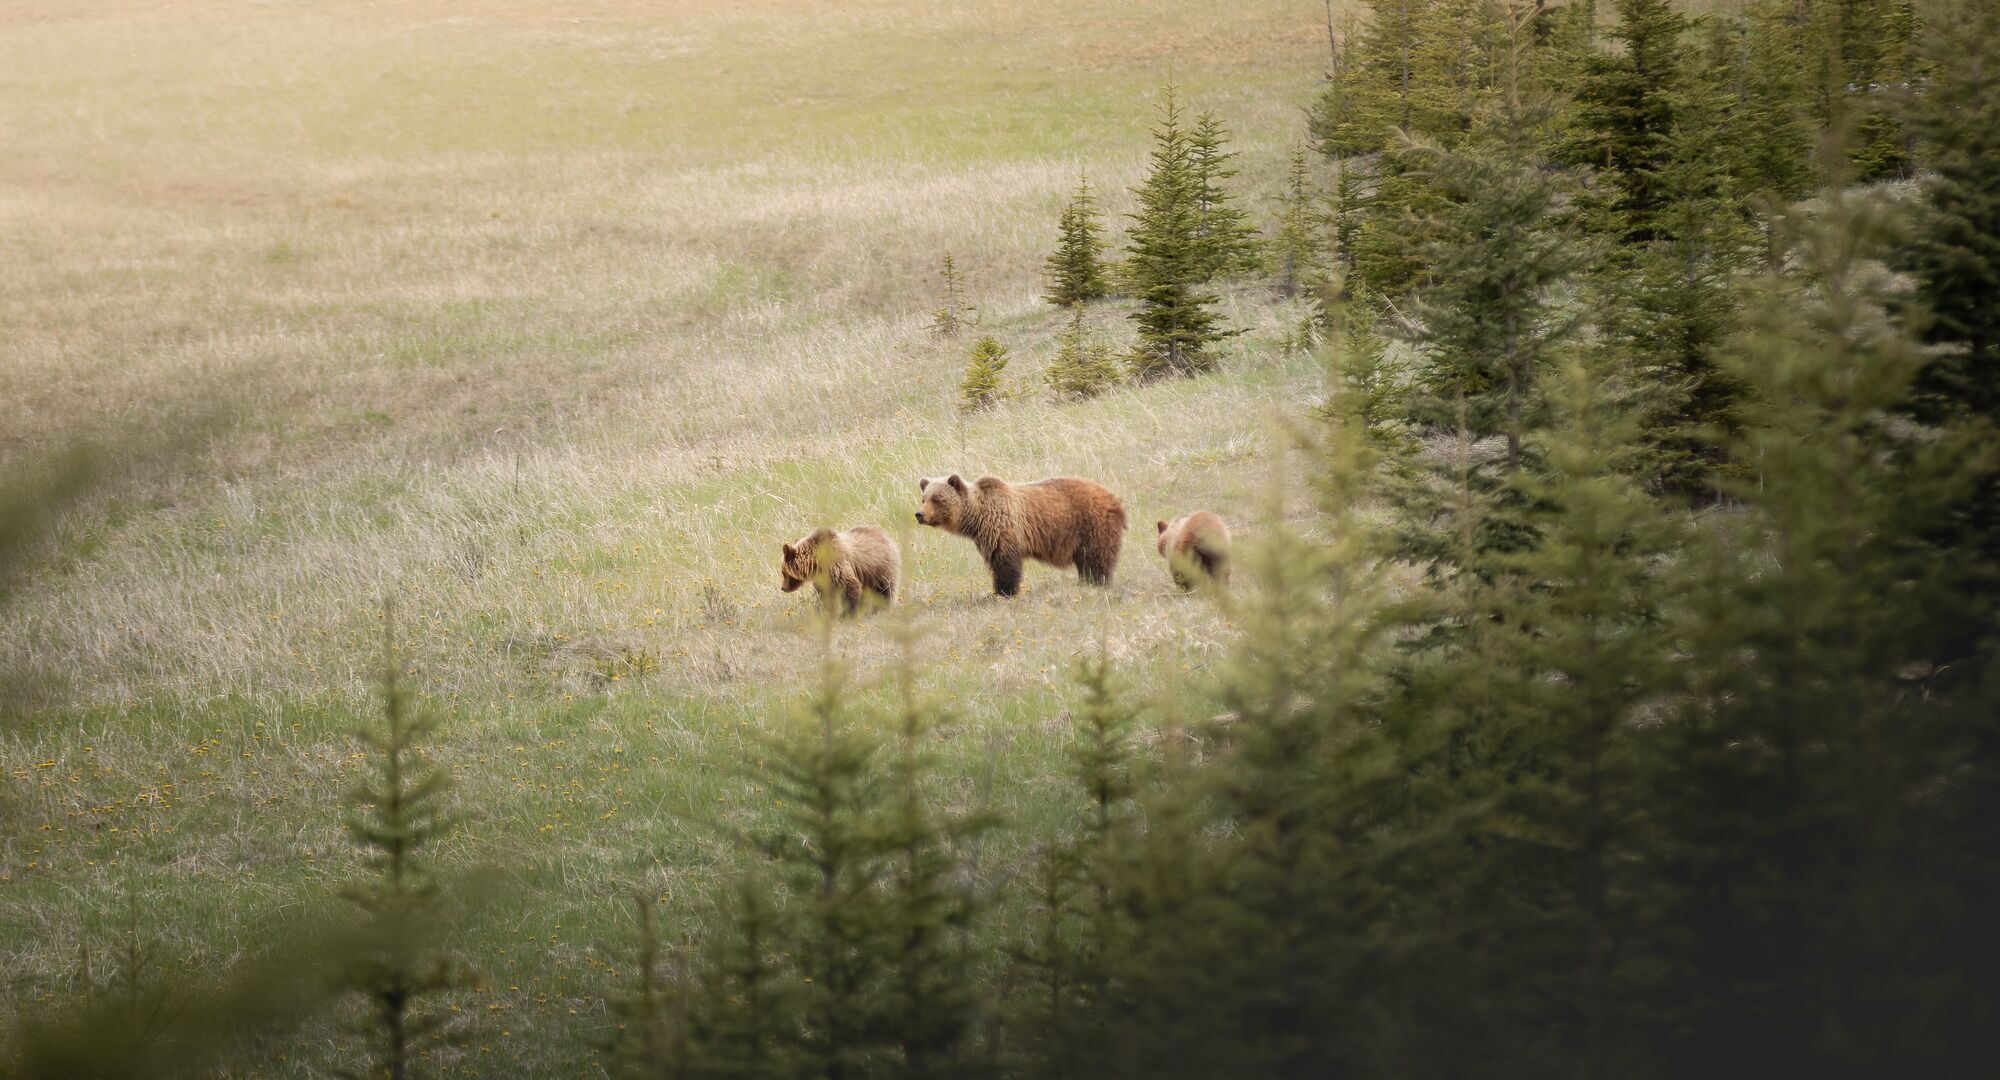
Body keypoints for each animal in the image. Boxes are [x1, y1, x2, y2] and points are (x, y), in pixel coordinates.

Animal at [914, 474, 1126, 597]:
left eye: (937, 499)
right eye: (924, 498)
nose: (919, 514)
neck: (978, 517)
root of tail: (1114, 499)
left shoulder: (1003, 529)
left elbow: (1005, 564)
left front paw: (1004, 592)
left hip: (1091, 525)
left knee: (1096, 559)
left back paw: (1095, 582)